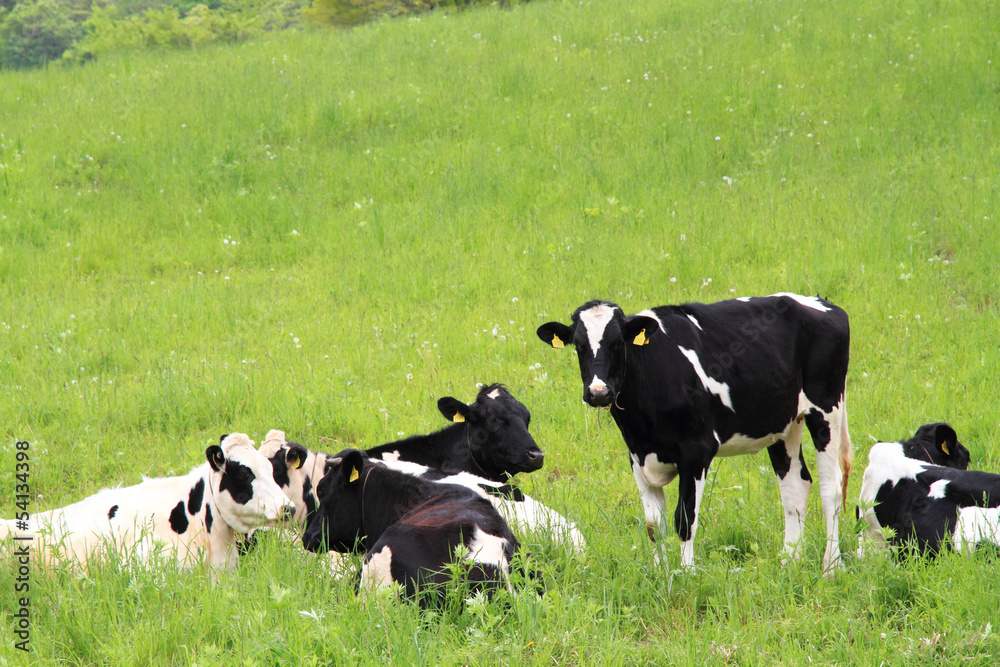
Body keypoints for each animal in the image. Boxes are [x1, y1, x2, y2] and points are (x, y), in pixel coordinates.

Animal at [540, 294, 852, 572]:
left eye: (617, 343)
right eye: (579, 345)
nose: (598, 392)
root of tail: (821, 302)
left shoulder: (696, 451)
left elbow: (684, 519)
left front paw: (687, 575)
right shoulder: (637, 457)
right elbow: (654, 525)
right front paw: (660, 575)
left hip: (827, 407)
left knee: (831, 488)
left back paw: (831, 567)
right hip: (783, 423)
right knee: (795, 487)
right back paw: (789, 563)